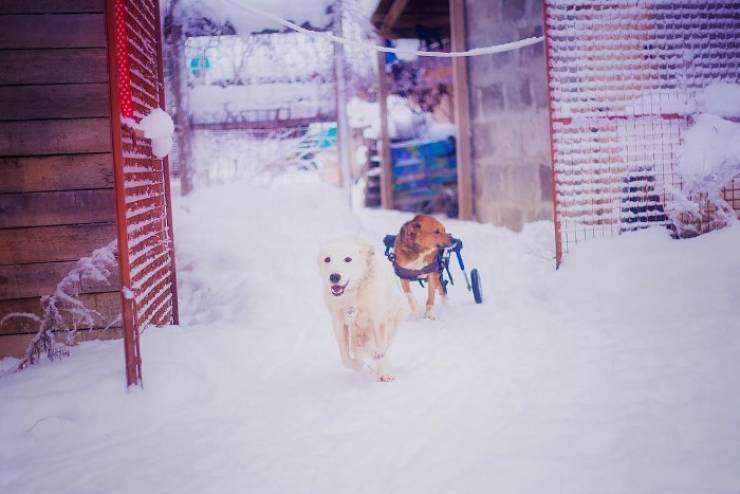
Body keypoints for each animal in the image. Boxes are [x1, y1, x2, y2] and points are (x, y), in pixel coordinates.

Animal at [318, 235, 408, 382]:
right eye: (327, 259)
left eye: (348, 259)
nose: (334, 277)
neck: (354, 293)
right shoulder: (338, 322)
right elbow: (345, 358)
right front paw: (357, 365)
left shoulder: (378, 320)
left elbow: (381, 350)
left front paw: (383, 373)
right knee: (358, 349)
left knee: (382, 346)